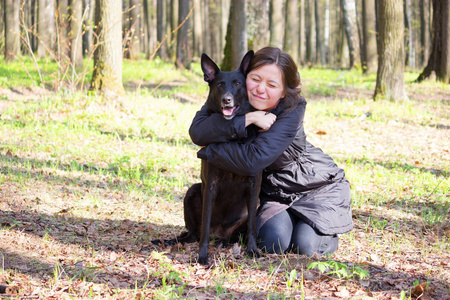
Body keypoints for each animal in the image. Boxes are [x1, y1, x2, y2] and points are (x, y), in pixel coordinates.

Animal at [167, 51, 262, 264]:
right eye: (219, 84)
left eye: (238, 83)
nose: (227, 100)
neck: (233, 140)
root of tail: (218, 233)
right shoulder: (210, 185)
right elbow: (205, 223)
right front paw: (202, 255)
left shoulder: (254, 186)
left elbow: (252, 225)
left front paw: (252, 250)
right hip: (192, 191)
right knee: (194, 233)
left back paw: (224, 243)